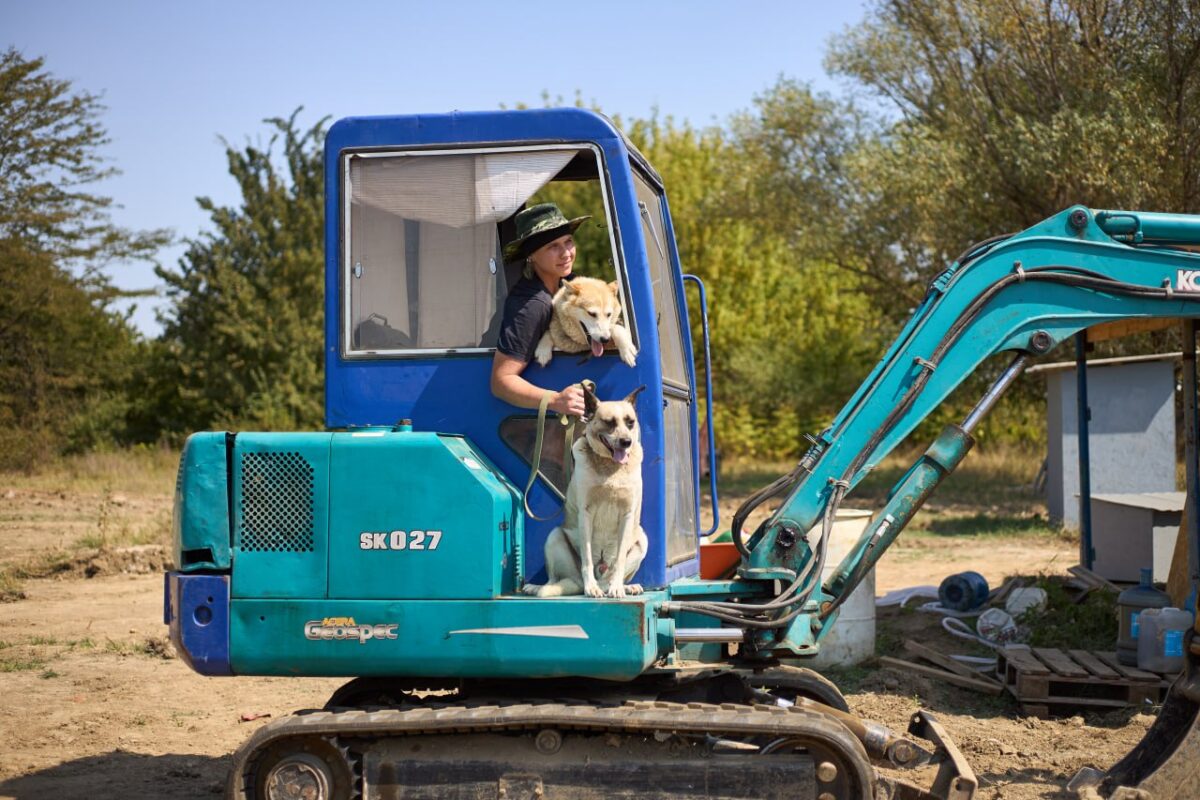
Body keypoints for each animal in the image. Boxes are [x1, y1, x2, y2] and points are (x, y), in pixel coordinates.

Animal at [523, 385, 648, 599]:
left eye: (630, 422)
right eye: (609, 422)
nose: (626, 442)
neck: (609, 467)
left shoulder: (627, 514)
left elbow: (620, 561)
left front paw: (617, 587)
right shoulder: (586, 513)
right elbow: (587, 559)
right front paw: (592, 588)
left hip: (642, 540)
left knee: (610, 575)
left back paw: (623, 586)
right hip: (554, 537)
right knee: (555, 579)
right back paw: (540, 587)